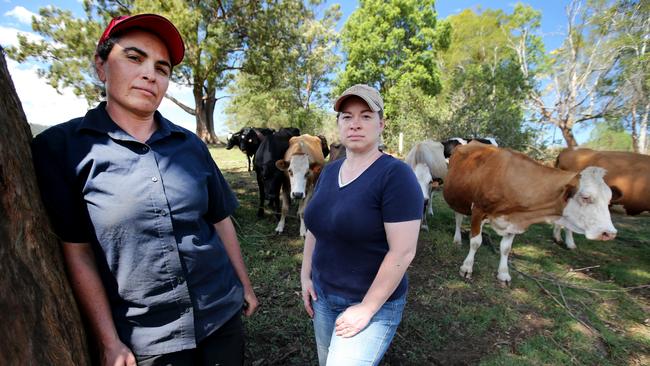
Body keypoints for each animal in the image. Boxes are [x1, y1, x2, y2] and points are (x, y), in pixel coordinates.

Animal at [440, 142, 616, 284]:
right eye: (586, 197)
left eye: (609, 200)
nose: (610, 233)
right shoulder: (478, 210)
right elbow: (476, 242)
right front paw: (466, 268)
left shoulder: (513, 221)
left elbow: (506, 248)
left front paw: (503, 274)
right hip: (458, 198)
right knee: (458, 218)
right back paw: (457, 239)